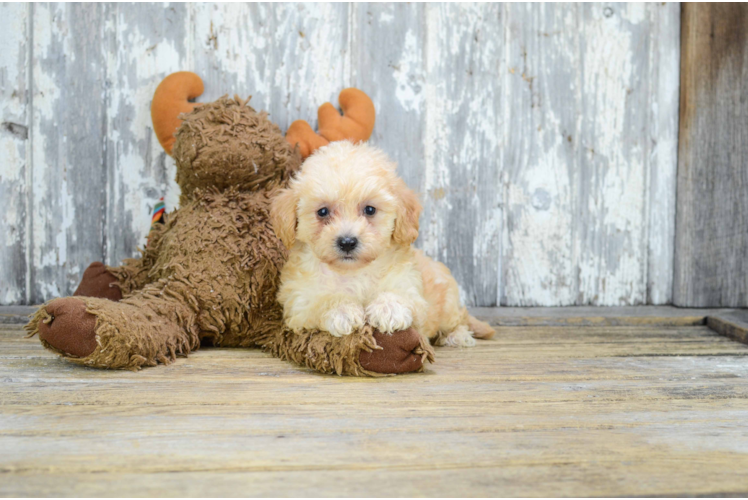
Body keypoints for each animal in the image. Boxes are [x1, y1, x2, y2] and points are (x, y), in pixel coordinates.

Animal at [270, 139, 496, 346]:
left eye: (370, 210)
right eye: (323, 212)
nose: (347, 242)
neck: (353, 272)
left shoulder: (411, 289)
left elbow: (399, 295)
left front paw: (388, 309)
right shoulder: (298, 303)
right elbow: (321, 301)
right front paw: (341, 309)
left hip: (447, 303)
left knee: (458, 319)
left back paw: (457, 335)